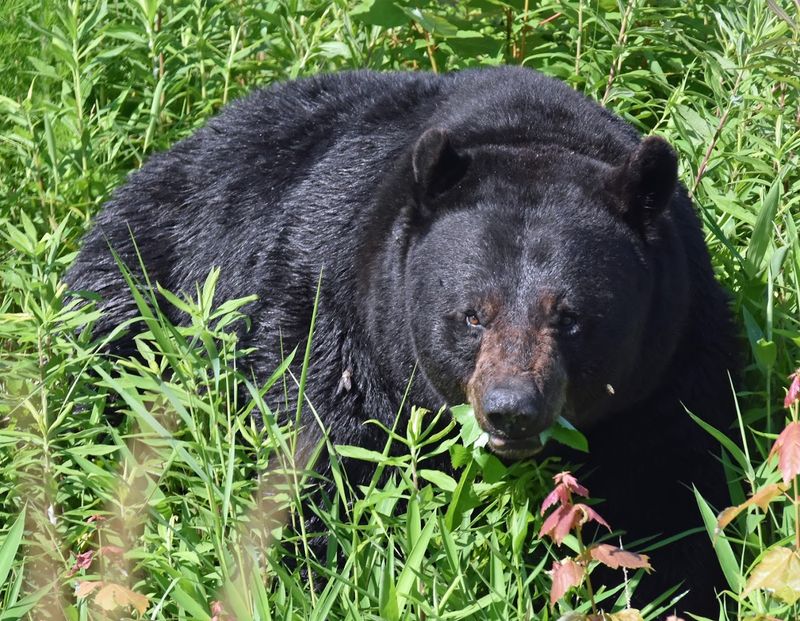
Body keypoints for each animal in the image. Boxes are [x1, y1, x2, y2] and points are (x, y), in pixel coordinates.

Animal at [65, 67, 740, 613]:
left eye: (570, 317)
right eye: (473, 315)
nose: (512, 410)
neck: (529, 133)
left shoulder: (675, 358)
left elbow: (674, 490)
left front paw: (670, 588)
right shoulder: (330, 310)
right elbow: (321, 449)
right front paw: (309, 571)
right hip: (146, 264)